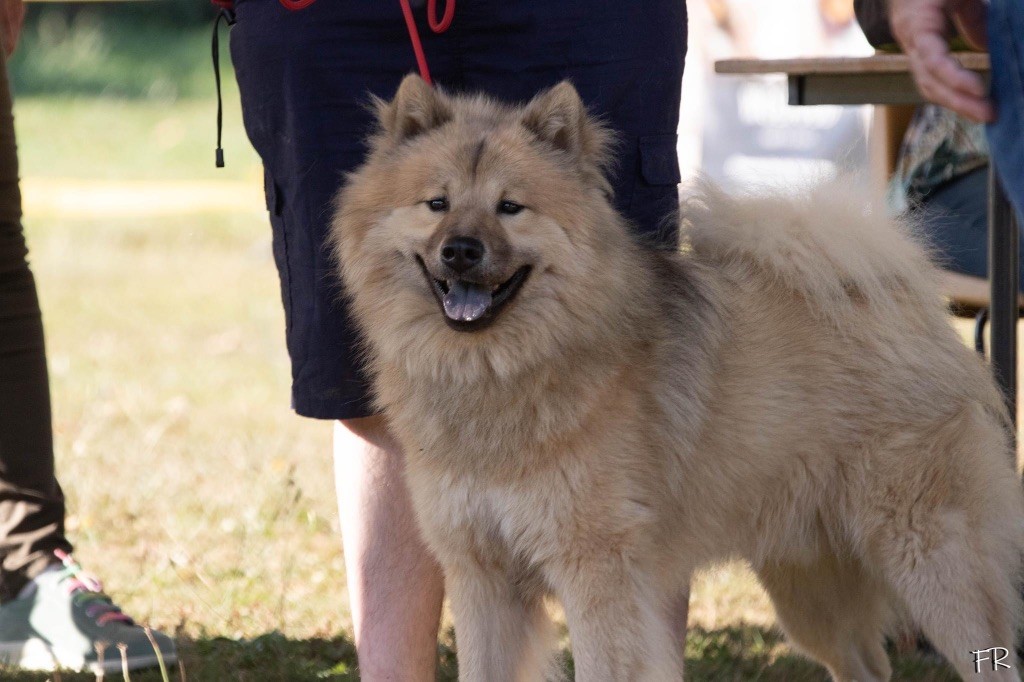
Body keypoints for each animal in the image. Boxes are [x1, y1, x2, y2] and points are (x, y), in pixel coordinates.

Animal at [329, 75, 1024, 679]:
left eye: (510, 208)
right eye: (436, 204)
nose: (461, 251)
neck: (504, 371)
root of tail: (902, 304)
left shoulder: (597, 573)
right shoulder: (481, 577)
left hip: (933, 564)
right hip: (809, 584)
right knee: (867, 666)